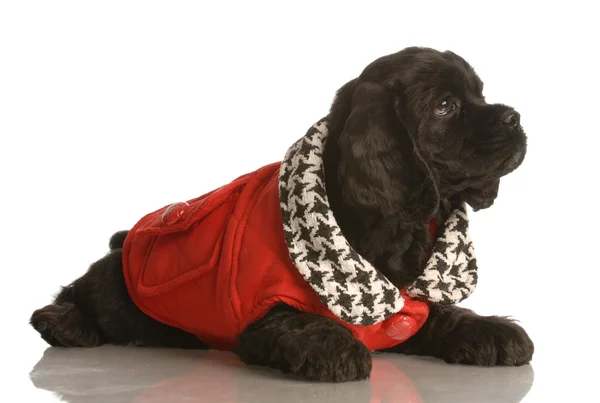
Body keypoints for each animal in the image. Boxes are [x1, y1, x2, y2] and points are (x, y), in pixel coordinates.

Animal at [30, 46, 532, 382]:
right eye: (445, 105)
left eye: (480, 94)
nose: (515, 117)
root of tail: (123, 238)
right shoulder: (261, 315)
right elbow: (299, 321)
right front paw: (336, 345)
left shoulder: (410, 305)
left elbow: (438, 313)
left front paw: (490, 329)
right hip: (118, 291)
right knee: (81, 292)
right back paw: (62, 321)